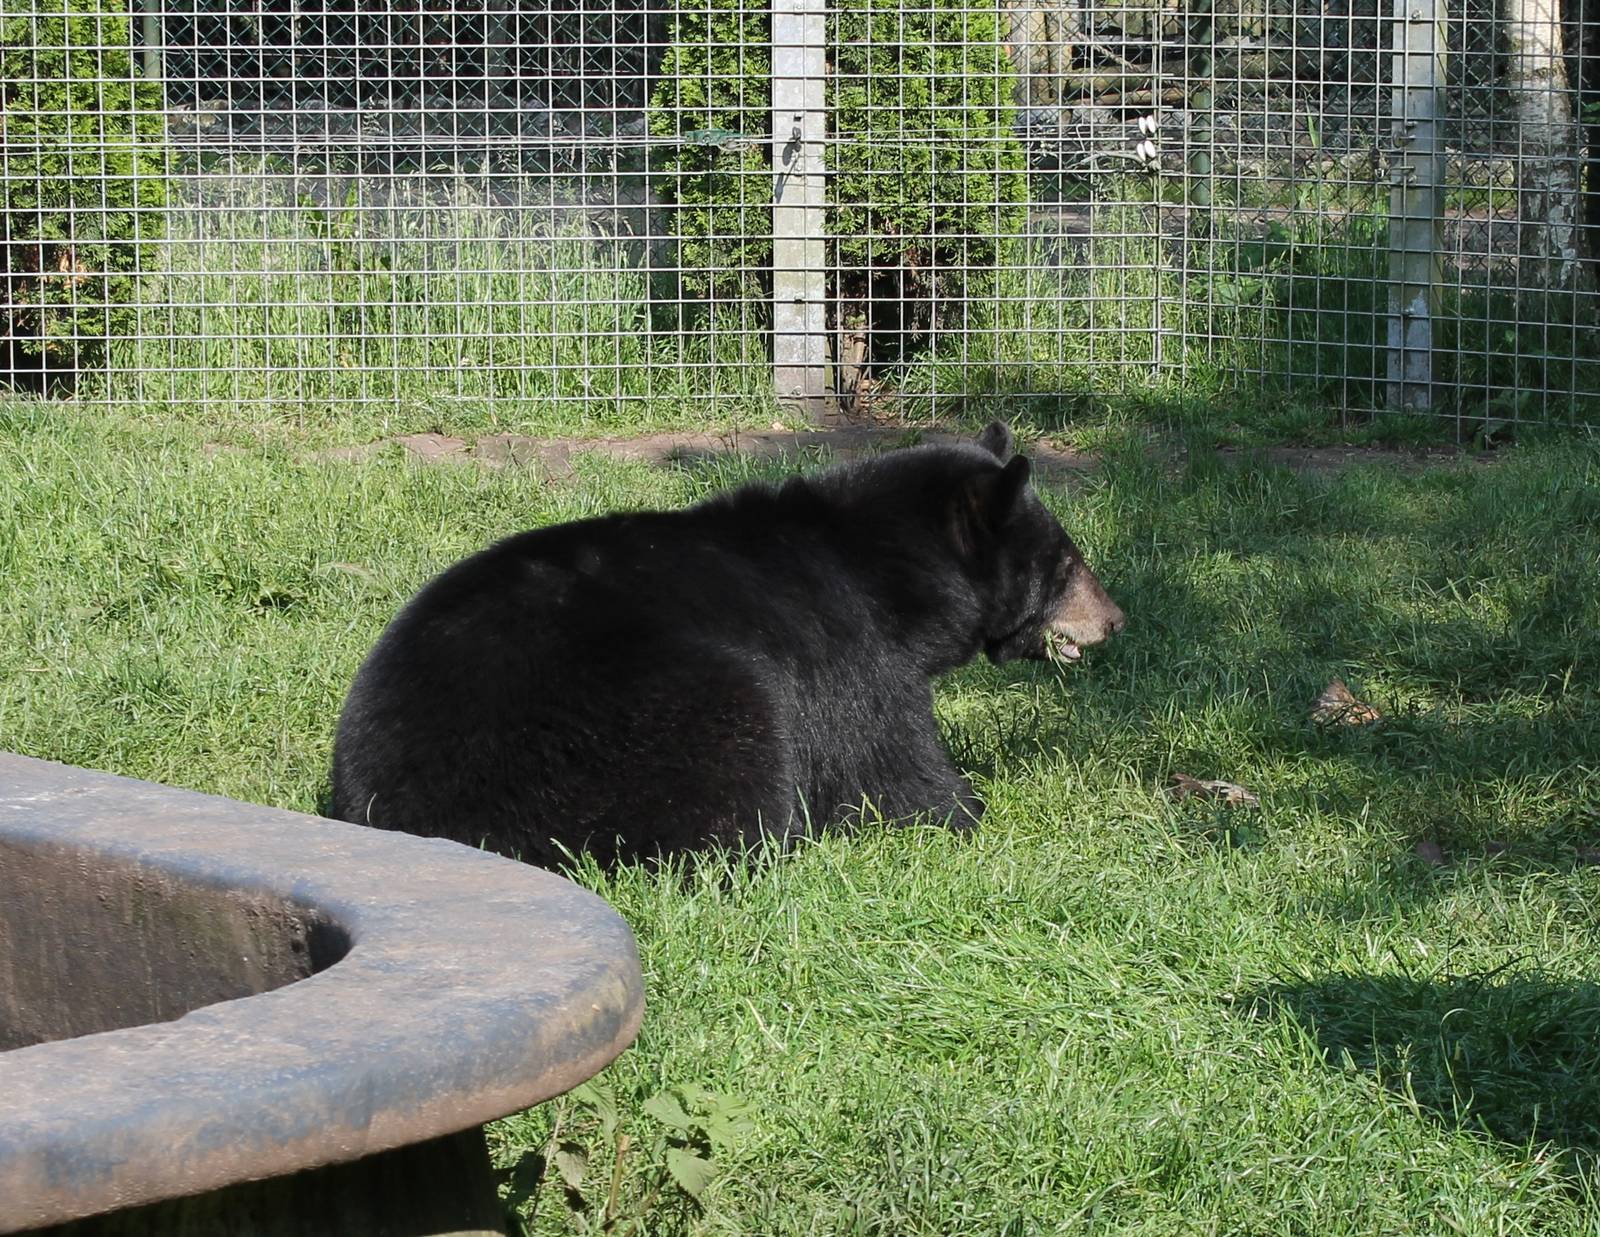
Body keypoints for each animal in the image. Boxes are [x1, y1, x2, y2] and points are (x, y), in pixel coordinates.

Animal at [329, 422, 1125, 867]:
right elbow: (890, 762)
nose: (1115, 618)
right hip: (644, 716)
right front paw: (969, 808)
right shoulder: (852, 651)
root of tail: (406, 818)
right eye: (1065, 562)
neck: (892, 574)